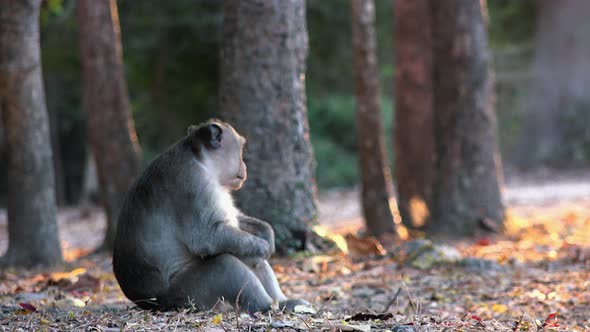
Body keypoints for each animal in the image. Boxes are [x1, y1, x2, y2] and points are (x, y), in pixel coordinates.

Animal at [112, 120, 310, 314]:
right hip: (187, 295)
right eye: (240, 148)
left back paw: (284, 303)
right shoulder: (193, 184)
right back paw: (266, 307)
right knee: (225, 265)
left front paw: (267, 234)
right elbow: (206, 237)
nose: (244, 166)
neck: (203, 162)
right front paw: (263, 246)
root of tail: (149, 303)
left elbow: (235, 221)